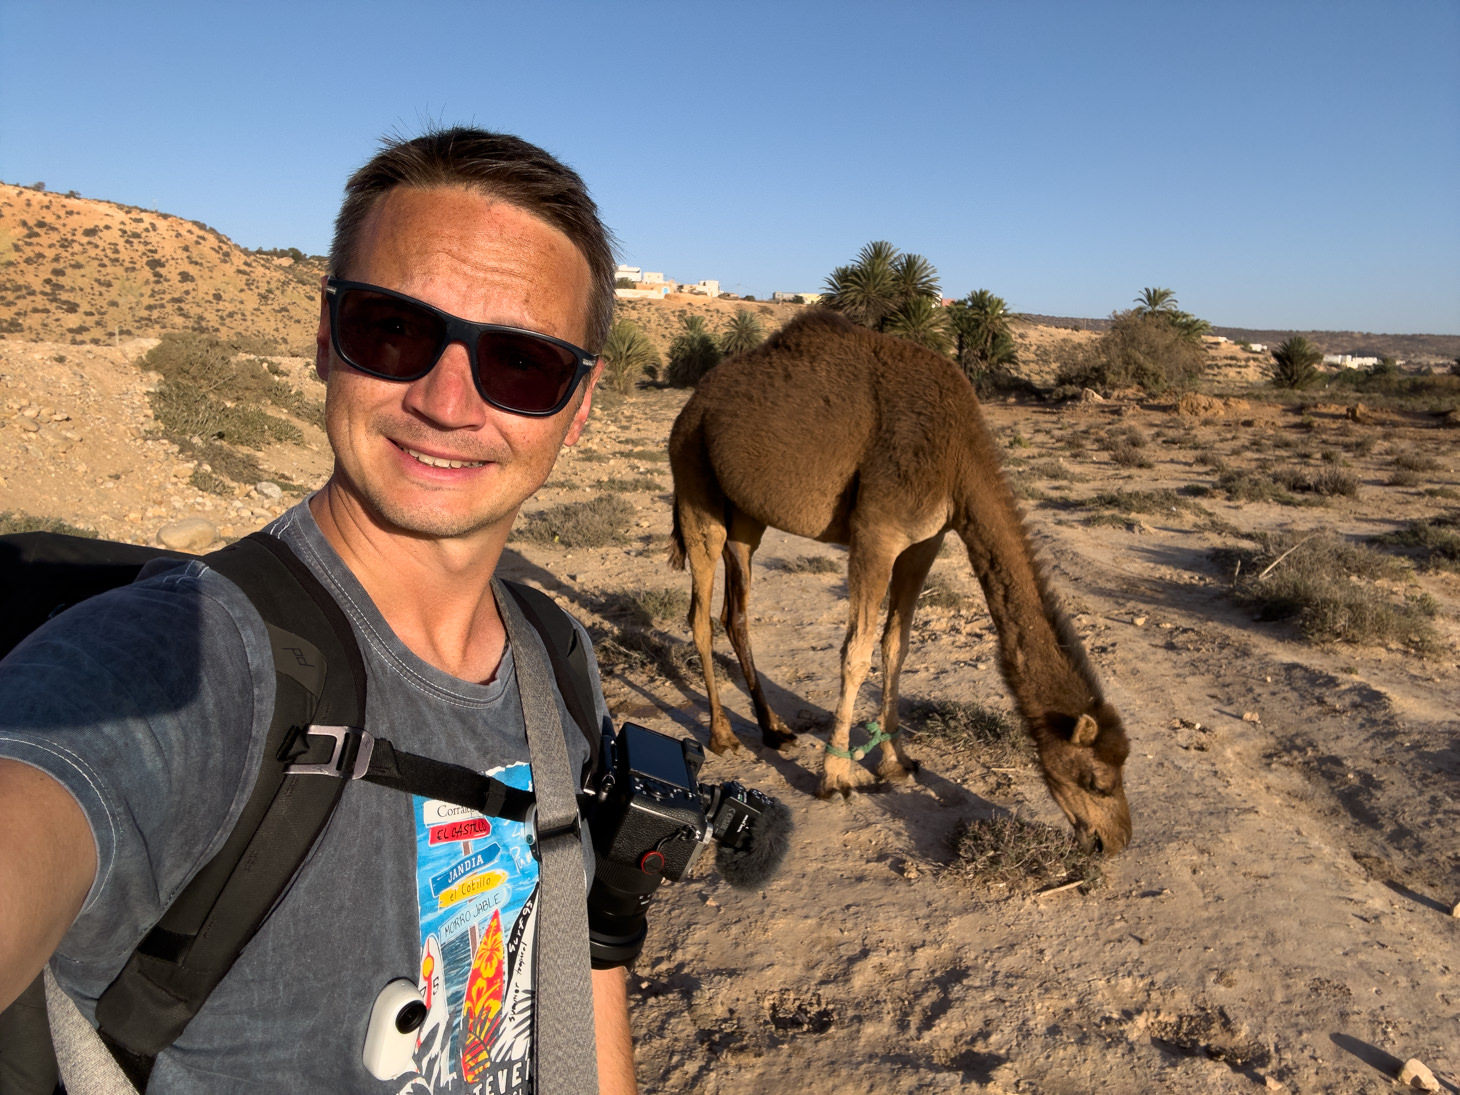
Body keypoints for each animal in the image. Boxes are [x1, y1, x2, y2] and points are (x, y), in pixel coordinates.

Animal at [668, 310, 1131, 853]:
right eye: (1094, 781)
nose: (1115, 840)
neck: (957, 458)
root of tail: (694, 402)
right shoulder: (877, 532)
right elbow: (856, 651)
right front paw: (836, 777)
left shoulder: (924, 541)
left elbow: (897, 646)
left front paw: (897, 762)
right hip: (693, 480)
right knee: (700, 613)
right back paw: (722, 735)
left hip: (746, 517)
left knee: (735, 610)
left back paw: (774, 728)